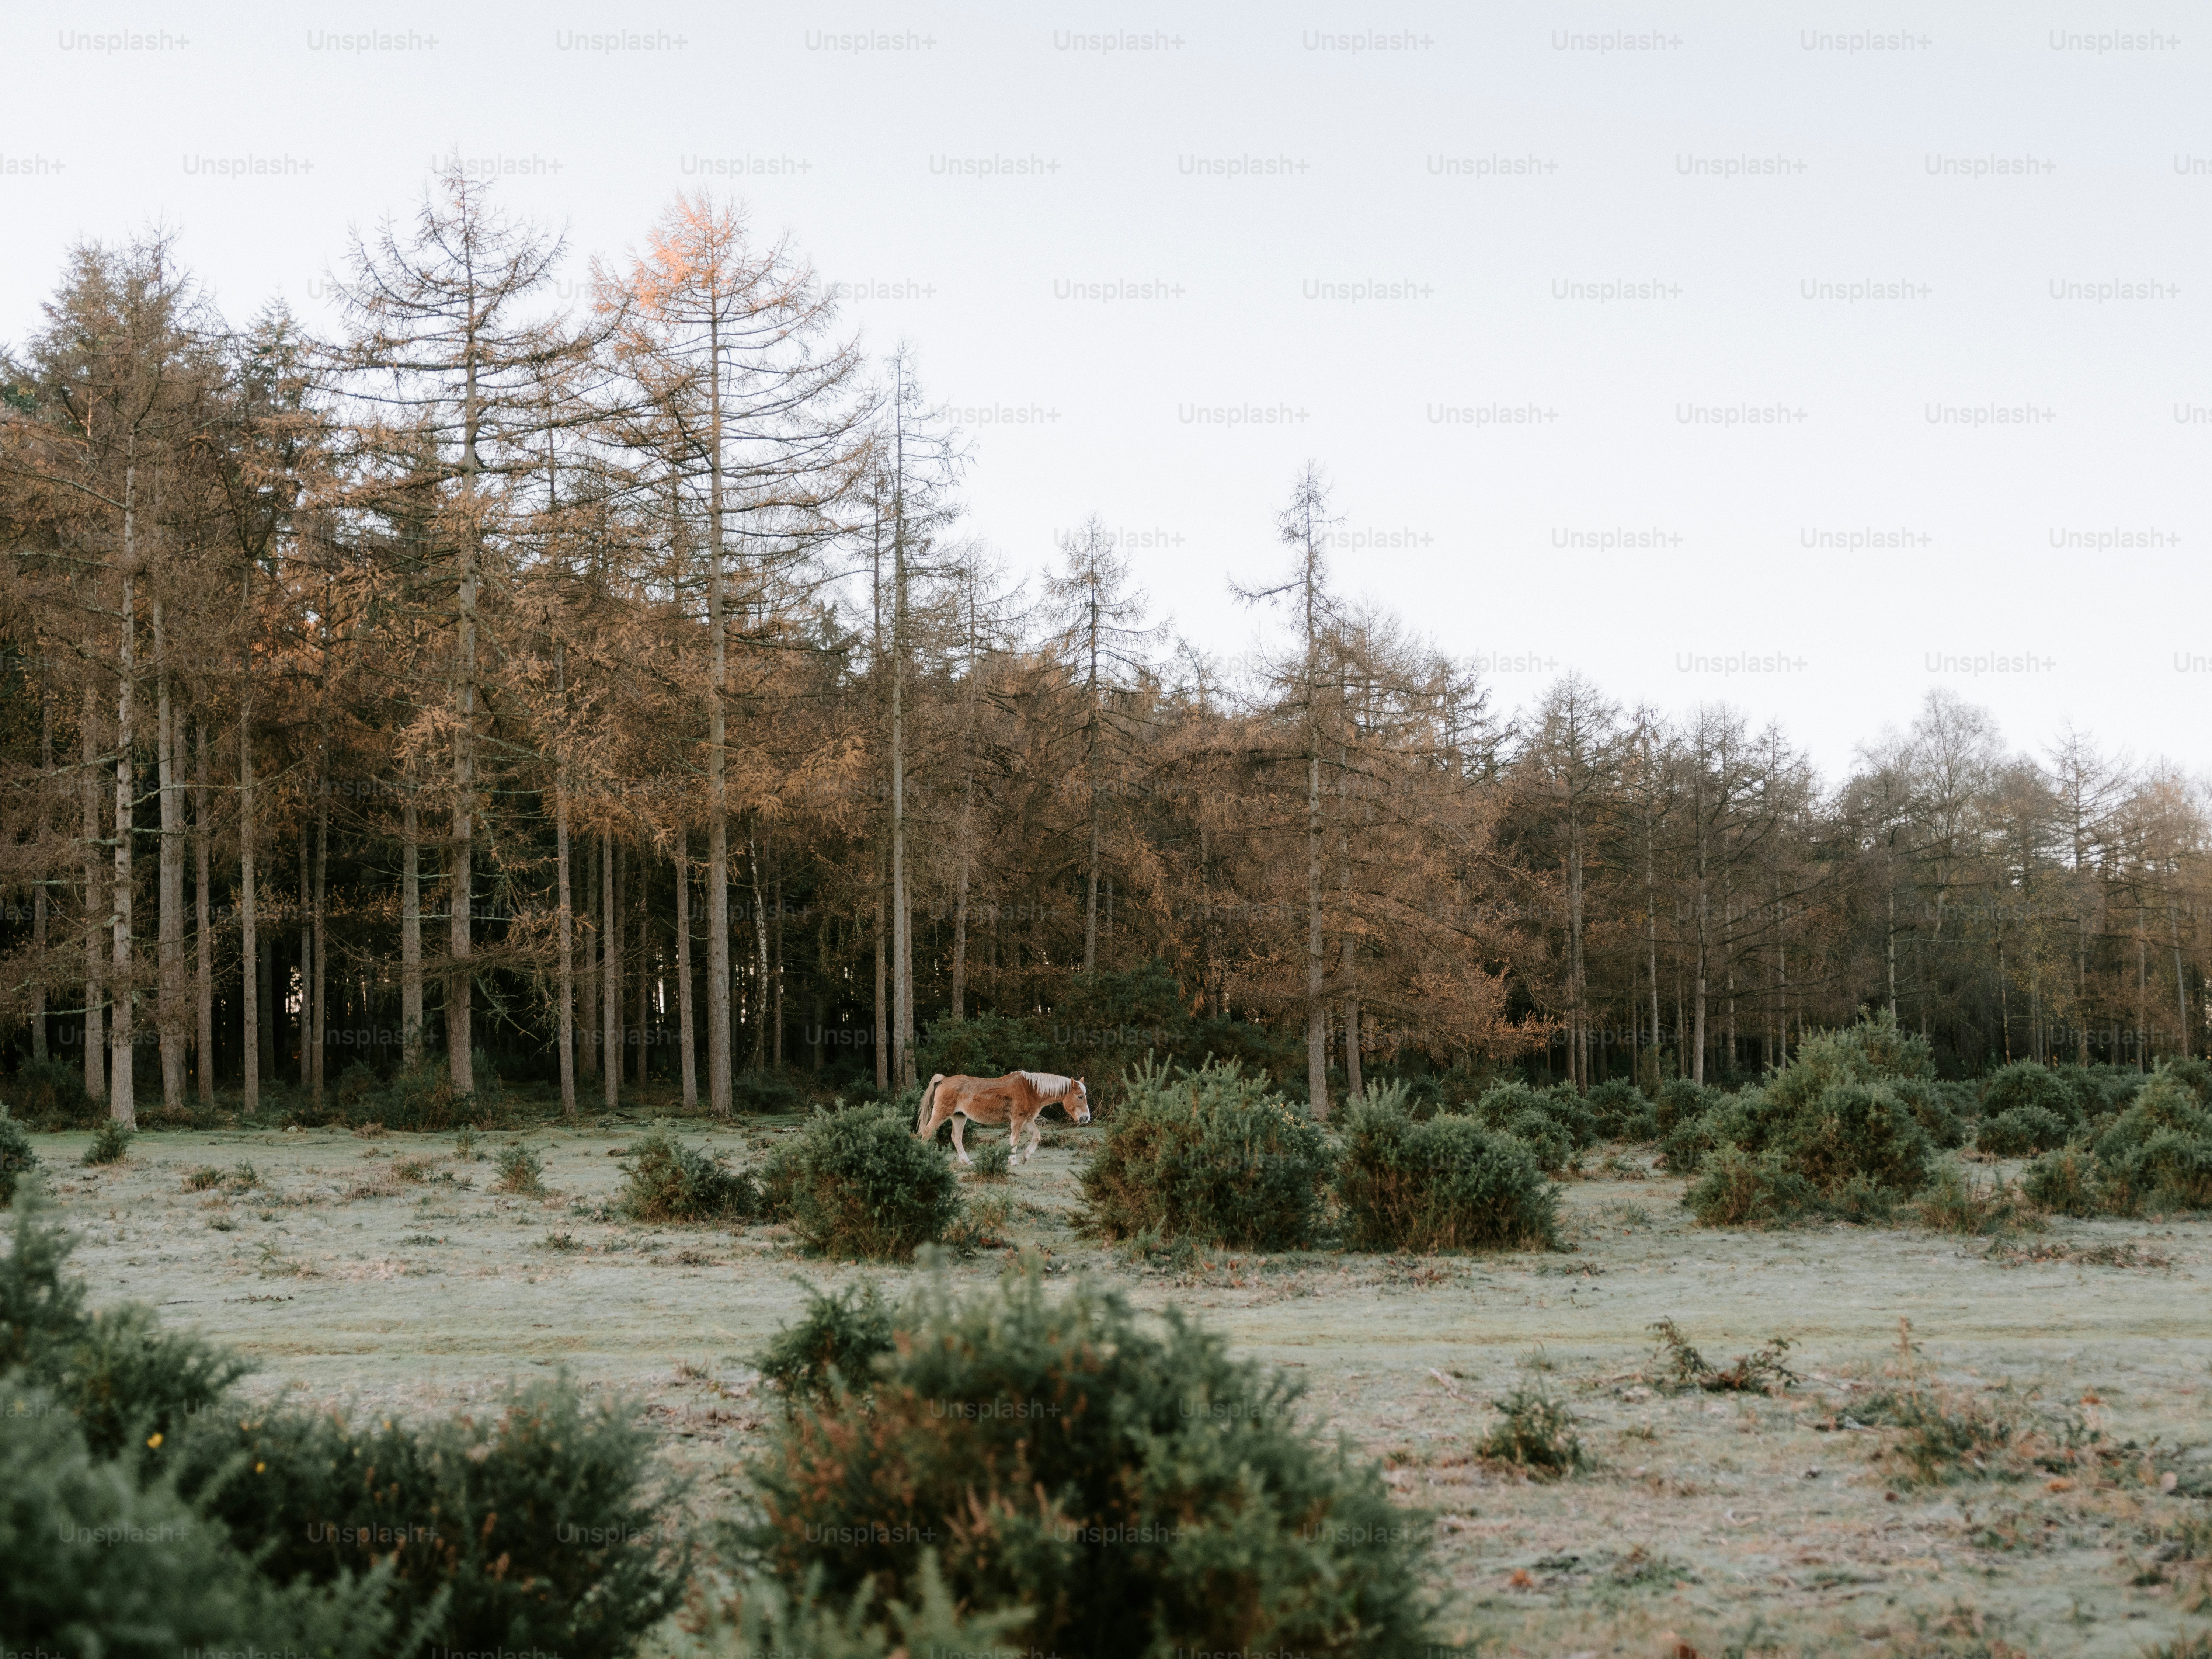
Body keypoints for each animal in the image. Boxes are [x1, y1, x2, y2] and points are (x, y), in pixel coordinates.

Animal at [914, 1070, 1091, 1167]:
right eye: (1080, 1097)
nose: (1086, 1118)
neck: (1031, 1089)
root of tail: (945, 1079)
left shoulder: (1027, 1120)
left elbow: (1037, 1136)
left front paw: (1026, 1157)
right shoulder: (1018, 1120)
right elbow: (1015, 1140)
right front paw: (1013, 1161)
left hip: (959, 1117)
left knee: (956, 1138)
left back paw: (967, 1162)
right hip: (941, 1113)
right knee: (928, 1132)